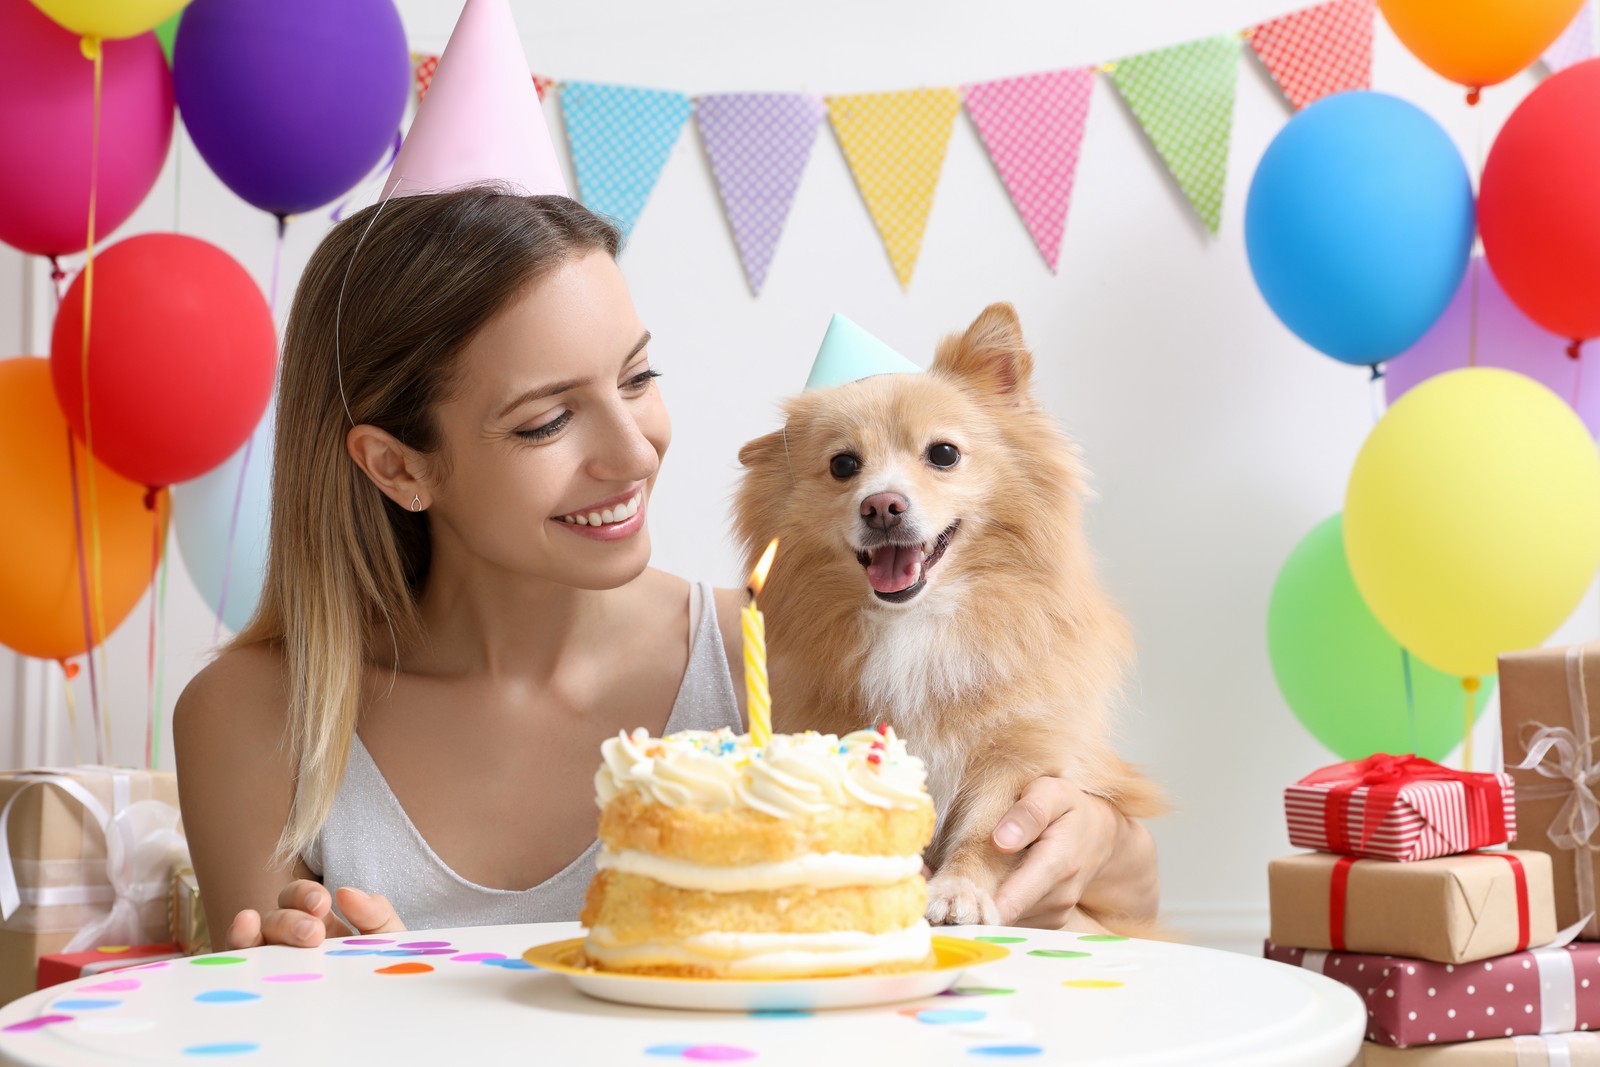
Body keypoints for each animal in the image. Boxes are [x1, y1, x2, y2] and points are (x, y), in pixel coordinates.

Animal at [732, 302, 1164, 934]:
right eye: (843, 465)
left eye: (943, 454)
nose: (881, 505)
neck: (918, 623)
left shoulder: (1020, 758)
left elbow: (988, 830)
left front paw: (960, 890)